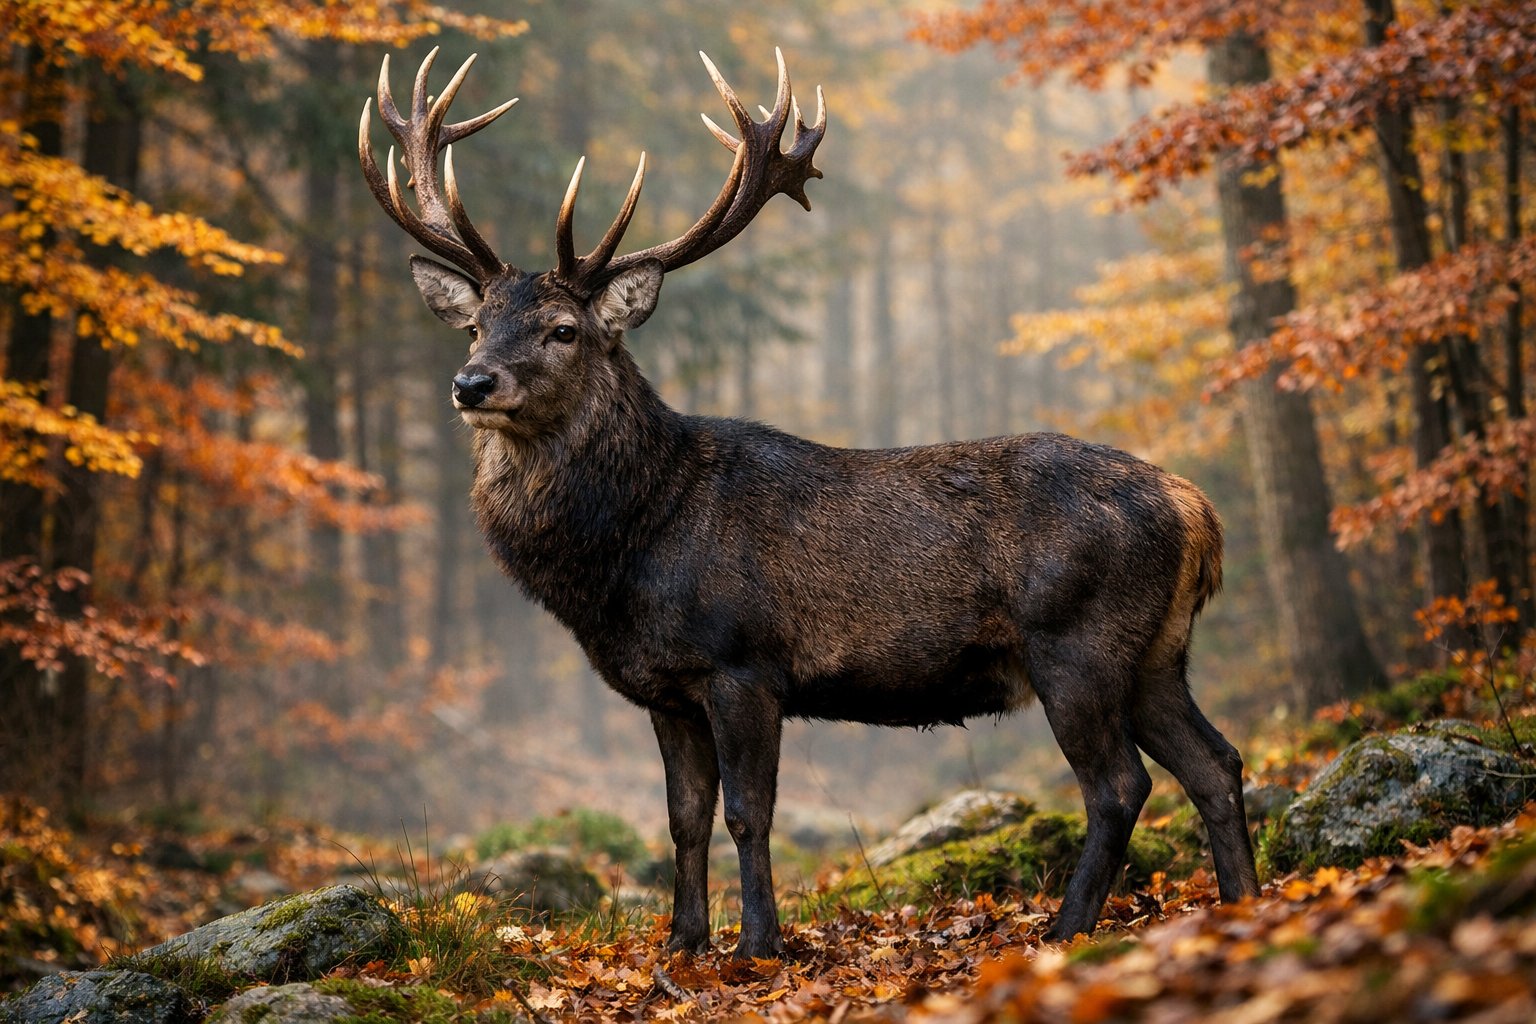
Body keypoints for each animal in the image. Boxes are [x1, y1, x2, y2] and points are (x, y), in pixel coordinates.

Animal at [357, 47, 1260, 959]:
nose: (472, 383)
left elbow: (749, 814)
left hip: (1075, 640)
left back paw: (1068, 929)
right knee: (1216, 763)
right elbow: (684, 820)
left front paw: (758, 945)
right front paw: (683, 944)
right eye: (476, 326)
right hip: (1157, 653)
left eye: (563, 331)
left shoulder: (743, 663)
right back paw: (1243, 904)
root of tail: (1199, 511)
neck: (634, 549)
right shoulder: (667, 689)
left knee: (1119, 784)